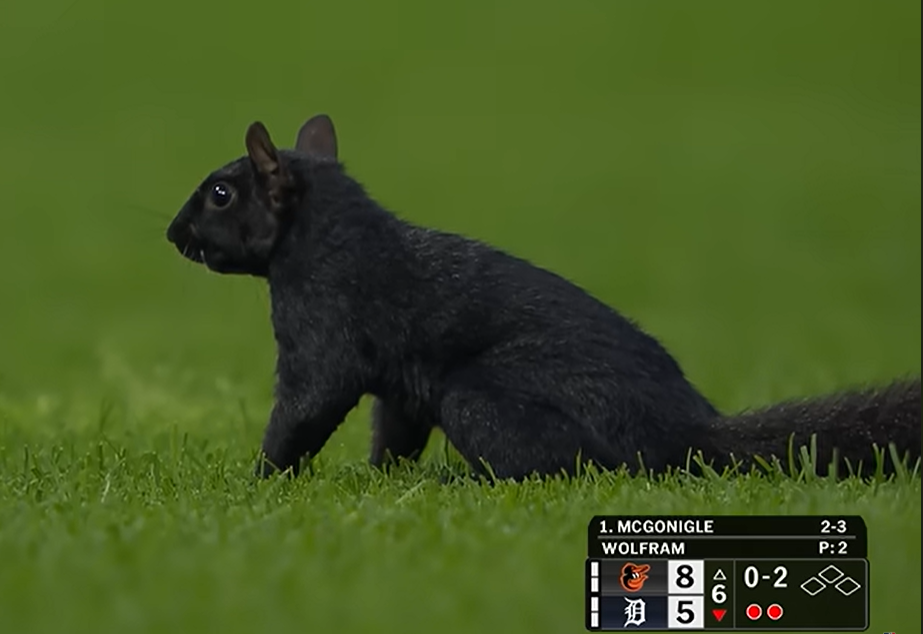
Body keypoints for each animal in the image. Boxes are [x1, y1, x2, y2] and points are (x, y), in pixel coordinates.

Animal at [166, 114, 921, 481]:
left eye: (221, 193)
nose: (173, 234)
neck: (330, 238)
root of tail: (682, 434)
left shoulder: (325, 324)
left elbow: (306, 406)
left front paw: (259, 478)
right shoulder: (400, 382)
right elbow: (395, 429)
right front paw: (377, 476)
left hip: (479, 398)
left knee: (570, 468)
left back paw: (458, 481)